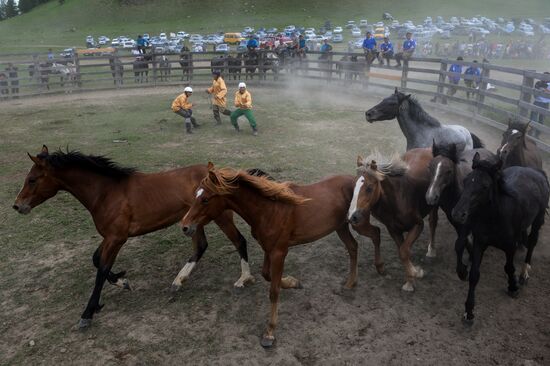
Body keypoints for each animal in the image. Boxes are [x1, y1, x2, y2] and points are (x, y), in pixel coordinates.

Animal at [12, 146, 254, 328]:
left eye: (32, 179)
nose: (17, 206)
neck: (106, 193)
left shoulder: (117, 238)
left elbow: (101, 270)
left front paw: (88, 313)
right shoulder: (110, 236)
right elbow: (96, 260)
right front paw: (121, 280)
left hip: (219, 216)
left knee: (239, 241)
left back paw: (243, 279)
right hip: (193, 222)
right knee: (201, 246)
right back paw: (178, 281)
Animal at [179, 164, 382, 348]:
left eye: (205, 199)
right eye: (196, 194)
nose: (185, 227)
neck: (269, 209)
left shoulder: (279, 252)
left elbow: (273, 290)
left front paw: (269, 332)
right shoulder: (268, 249)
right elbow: (267, 275)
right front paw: (293, 282)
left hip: (358, 222)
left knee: (376, 233)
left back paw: (379, 267)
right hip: (341, 226)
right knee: (353, 247)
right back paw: (350, 283)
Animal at [350, 148, 440, 292]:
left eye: (369, 188)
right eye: (353, 187)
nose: (354, 216)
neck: (397, 199)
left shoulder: (418, 225)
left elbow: (404, 251)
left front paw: (415, 274)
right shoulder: (394, 230)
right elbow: (403, 251)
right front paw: (410, 279)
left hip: (434, 204)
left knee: (433, 222)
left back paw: (431, 251)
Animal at [452, 154, 550, 324]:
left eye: (485, 186)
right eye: (465, 180)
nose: (458, 213)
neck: (496, 217)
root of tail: (537, 172)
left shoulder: (510, 246)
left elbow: (509, 267)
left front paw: (513, 287)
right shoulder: (480, 242)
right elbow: (474, 275)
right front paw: (468, 312)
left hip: (538, 220)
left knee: (532, 242)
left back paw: (524, 272)